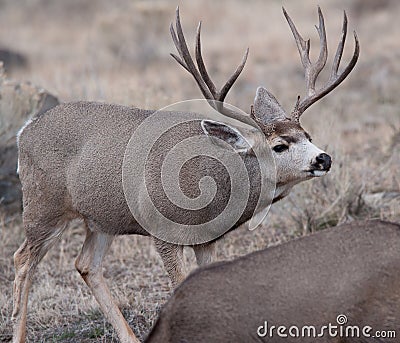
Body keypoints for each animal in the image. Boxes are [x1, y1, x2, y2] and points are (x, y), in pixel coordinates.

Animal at [10, 5, 360, 343]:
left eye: (308, 135)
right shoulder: (162, 231)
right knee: (23, 259)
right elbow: (179, 286)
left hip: (102, 218)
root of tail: (24, 132)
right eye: (279, 146)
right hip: (44, 206)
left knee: (86, 265)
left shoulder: (208, 240)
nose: (323, 159)